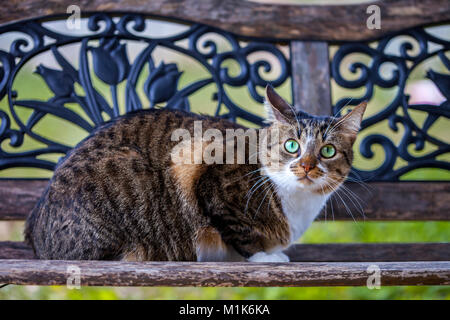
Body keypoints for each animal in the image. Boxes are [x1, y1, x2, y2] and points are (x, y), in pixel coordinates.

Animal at [24, 85, 368, 262]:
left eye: (327, 151)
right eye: (292, 145)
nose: (307, 165)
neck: (297, 202)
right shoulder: (203, 167)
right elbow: (239, 231)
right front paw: (264, 257)